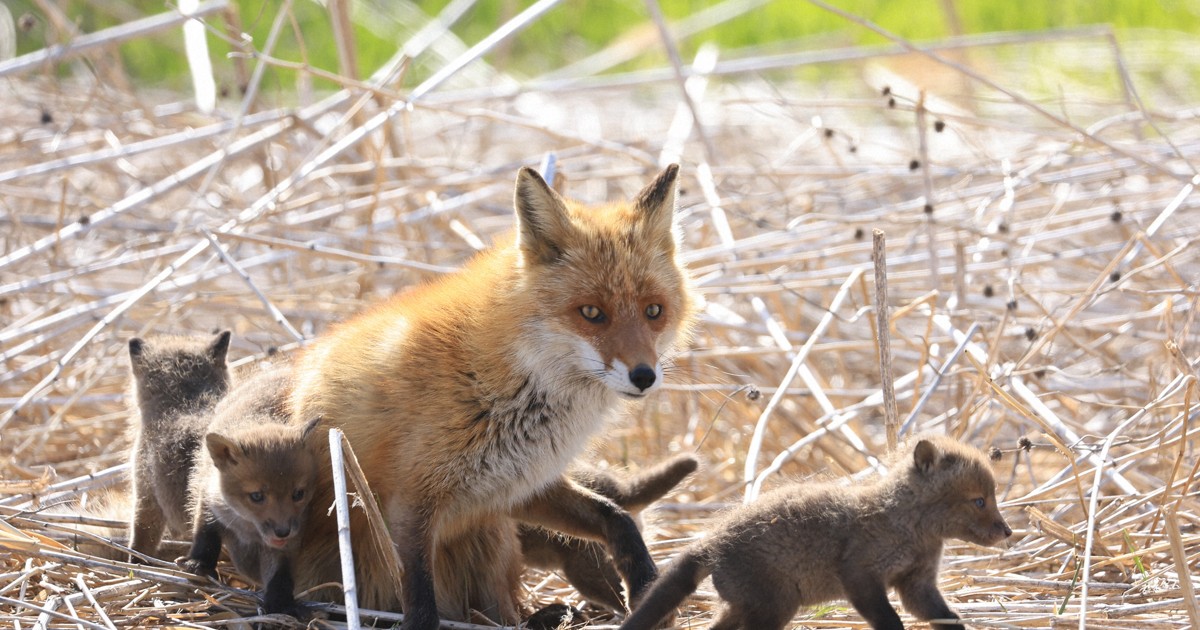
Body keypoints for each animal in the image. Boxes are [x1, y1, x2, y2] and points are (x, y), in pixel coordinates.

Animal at [181, 366, 321, 618]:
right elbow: (205, 535)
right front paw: (198, 565)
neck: (247, 528)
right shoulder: (208, 500)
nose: (282, 532)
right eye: (257, 496)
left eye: (299, 494)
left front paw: (281, 603)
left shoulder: (291, 540)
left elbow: (281, 574)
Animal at [618, 436, 1013, 630]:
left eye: (990, 497)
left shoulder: (917, 585)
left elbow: (949, 619)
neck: (910, 529)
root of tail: (712, 542)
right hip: (773, 607)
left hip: (750, 605)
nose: (1007, 531)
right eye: (979, 501)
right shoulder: (859, 575)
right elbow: (890, 621)